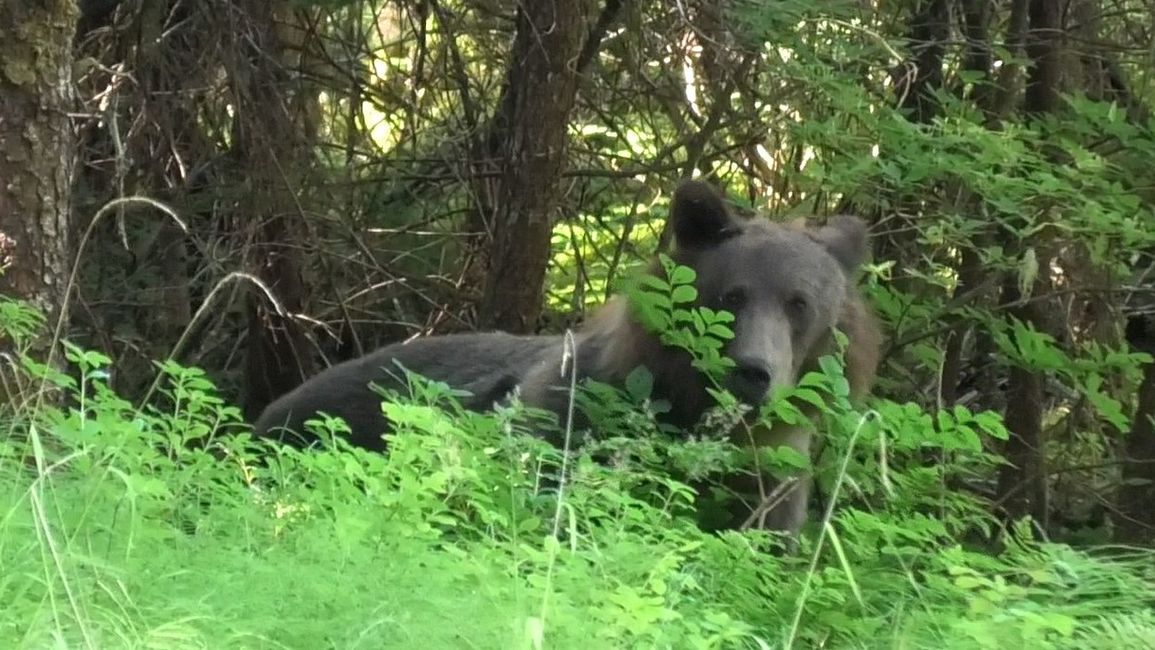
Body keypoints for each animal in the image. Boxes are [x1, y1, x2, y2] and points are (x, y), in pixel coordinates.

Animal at [255, 177, 882, 540]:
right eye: (733, 295)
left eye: (799, 303)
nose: (754, 371)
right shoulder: (572, 413)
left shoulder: (772, 472)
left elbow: (766, 534)